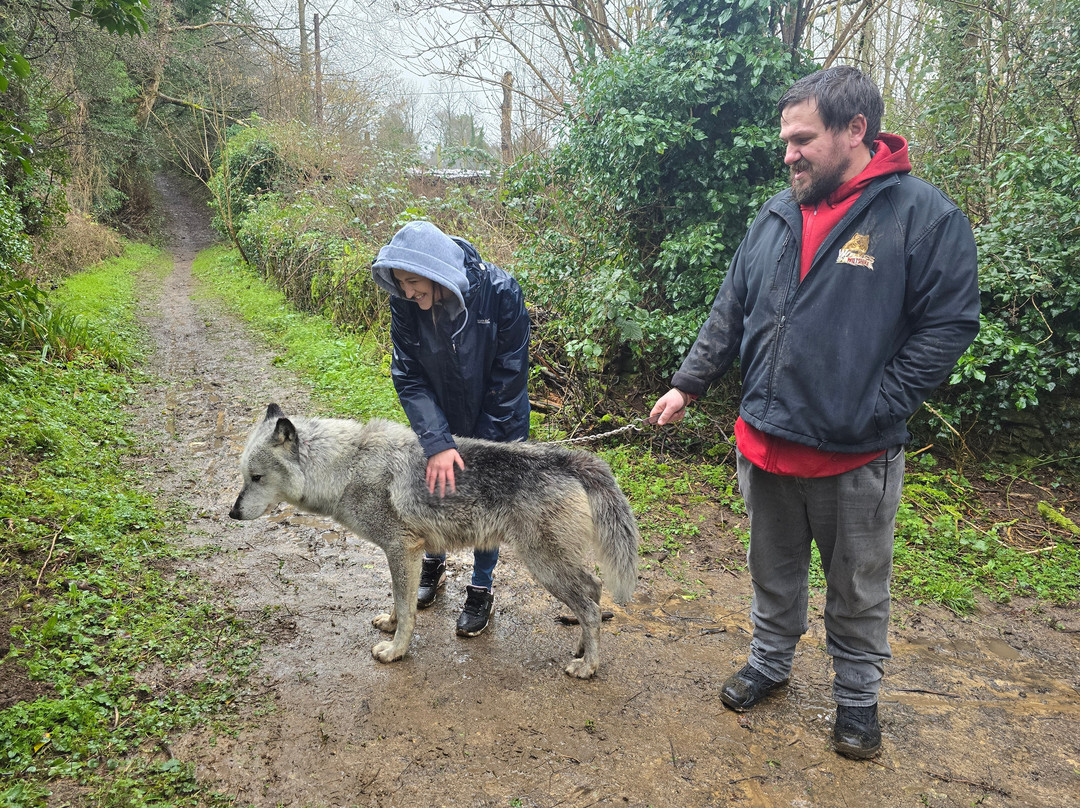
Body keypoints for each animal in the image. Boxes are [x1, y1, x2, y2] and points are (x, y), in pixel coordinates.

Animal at [229, 404, 639, 678]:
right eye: (245, 476)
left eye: (257, 477)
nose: (232, 513)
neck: (347, 467)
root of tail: (566, 458)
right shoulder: (405, 555)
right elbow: (402, 602)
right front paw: (391, 624)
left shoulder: (402, 551)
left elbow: (408, 610)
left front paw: (396, 651)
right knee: (594, 591)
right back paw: (583, 648)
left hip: (545, 567)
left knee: (590, 606)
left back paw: (588, 666)